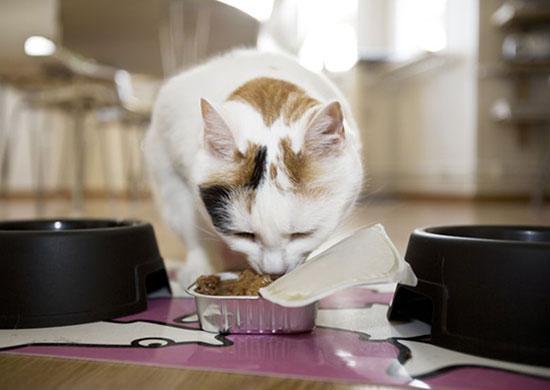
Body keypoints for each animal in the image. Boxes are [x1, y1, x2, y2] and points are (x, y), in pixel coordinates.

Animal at [144, 48, 364, 288]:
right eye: (244, 235)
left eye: (301, 234)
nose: (275, 272)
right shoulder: (174, 172)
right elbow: (194, 233)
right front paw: (199, 267)